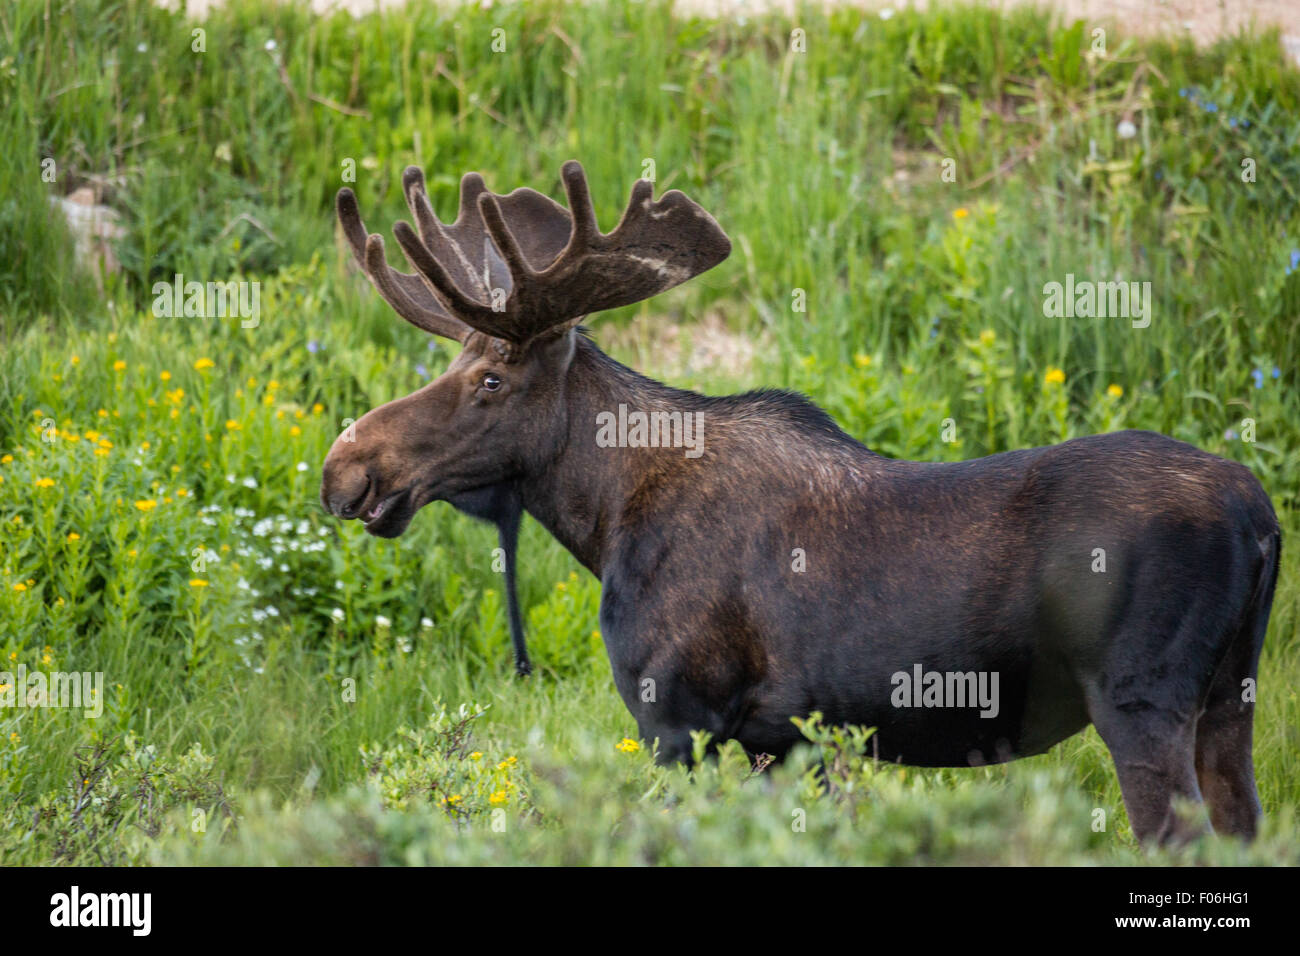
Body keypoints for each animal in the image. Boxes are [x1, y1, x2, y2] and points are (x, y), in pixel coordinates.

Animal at [322, 158, 1279, 842]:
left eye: (489, 379)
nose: (346, 467)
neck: (604, 522)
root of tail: (1263, 522)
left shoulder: (681, 717)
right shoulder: (789, 743)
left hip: (1141, 700)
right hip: (1229, 700)